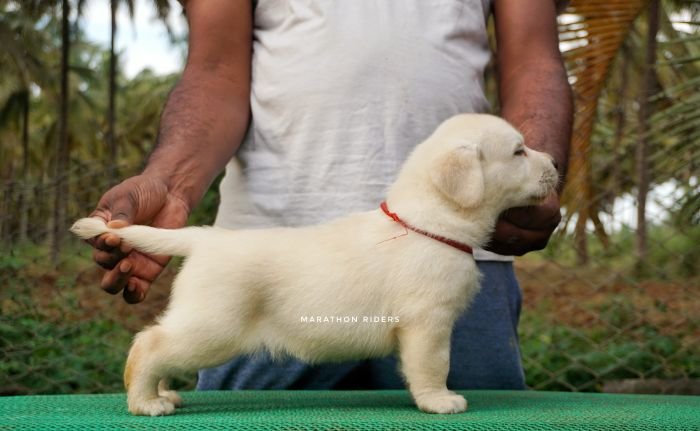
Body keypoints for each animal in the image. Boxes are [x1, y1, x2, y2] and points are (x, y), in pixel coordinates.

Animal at [71, 113, 556, 416]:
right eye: (518, 152)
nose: (554, 162)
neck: (425, 221)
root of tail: (204, 237)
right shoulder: (429, 322)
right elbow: (433, 365)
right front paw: (439, 401)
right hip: (213, 326)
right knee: (149, 344)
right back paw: (145, 402)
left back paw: (162, 394)